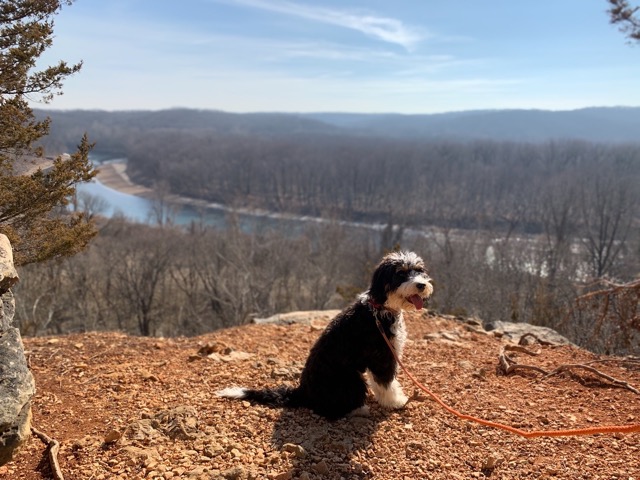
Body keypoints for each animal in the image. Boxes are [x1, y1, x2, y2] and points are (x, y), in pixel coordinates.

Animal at [218, 251, 432, 420]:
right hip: (349, 378)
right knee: (328, 410)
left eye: (419, 270)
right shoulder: (383, 356)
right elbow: (387, 383)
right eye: (400, 273)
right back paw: (358, 410)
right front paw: (396, 401)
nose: (421, 285)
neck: (379, 309)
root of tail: (302, 391)